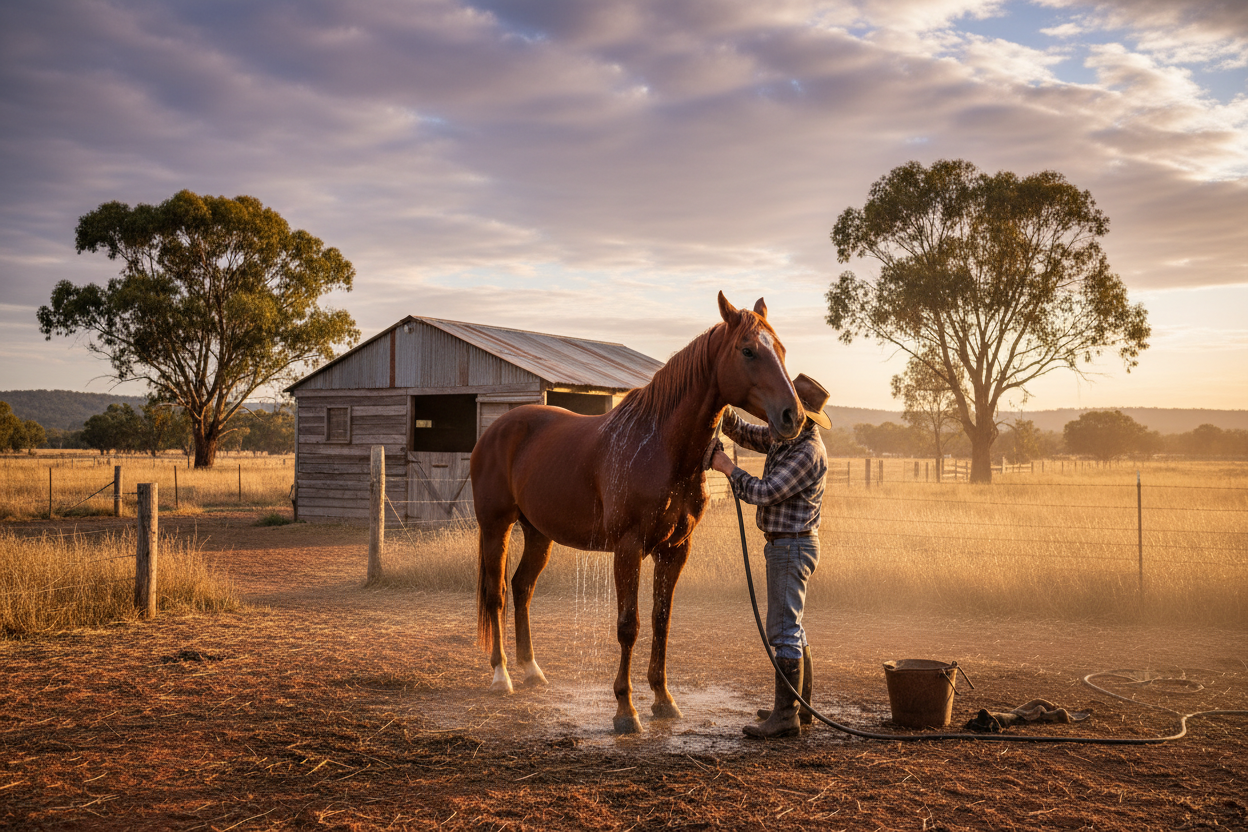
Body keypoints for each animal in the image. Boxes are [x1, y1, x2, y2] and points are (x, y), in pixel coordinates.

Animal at [470, 292, 804, 734]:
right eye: (748, 350)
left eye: (780, 349)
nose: (792, 416)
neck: (660, 446)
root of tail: (496, 430)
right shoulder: (628, 549)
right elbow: (629, 625)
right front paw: (625, 711)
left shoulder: (675, 550)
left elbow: (661, 619)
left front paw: (663, 699)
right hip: (497, 528)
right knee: (497, 595)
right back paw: (502, 676)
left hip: (538, 533)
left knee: (523, 589)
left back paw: (531, 671)